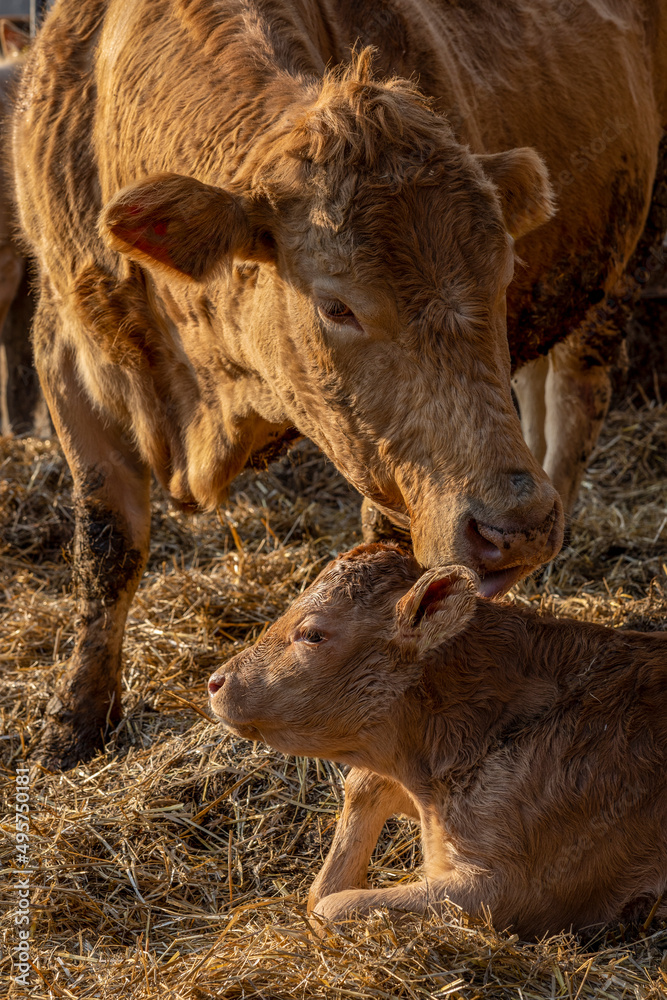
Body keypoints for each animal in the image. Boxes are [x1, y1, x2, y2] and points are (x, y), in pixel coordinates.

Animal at [11, 0, 667, 767]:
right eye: (335, 306)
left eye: (501, 271)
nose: (519, 527)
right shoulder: (65, 351)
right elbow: (107, 543)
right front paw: (75, 721)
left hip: (626, 262)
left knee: (574, 401)